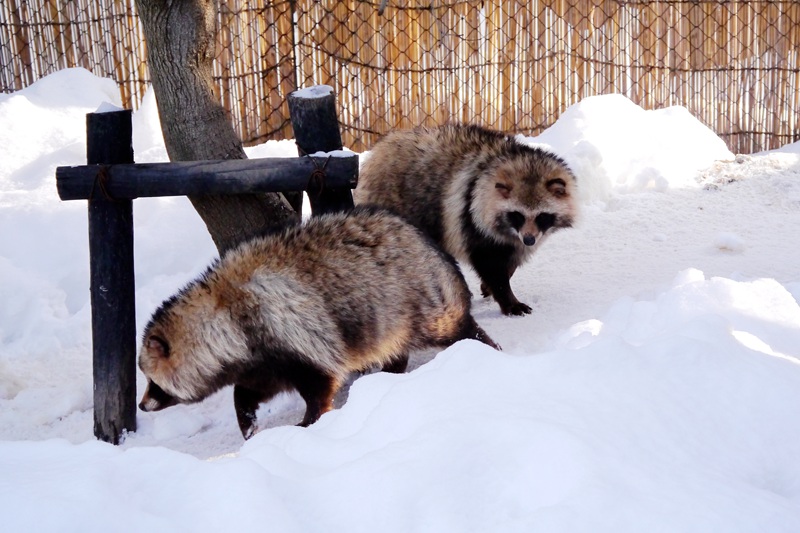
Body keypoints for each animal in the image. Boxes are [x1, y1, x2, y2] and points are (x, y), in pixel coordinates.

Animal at [141, 206, 496, 438]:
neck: (223, 311)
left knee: (449, 327)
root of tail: (428, 246)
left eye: (152, 380)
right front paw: (247, 420)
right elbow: (249, 390)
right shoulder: (261, 359)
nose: (142, 406)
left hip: (416, 298)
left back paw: (478, 343)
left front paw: (311, 421)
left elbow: (320, 382)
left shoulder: (289, 329)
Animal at [354, 123, 576, 316]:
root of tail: (379, 149)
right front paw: (507, 299)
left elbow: (510, 259)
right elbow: (490, 266)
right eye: (517, 215)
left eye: (542, 216)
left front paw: (495, 283)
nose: (529, 240)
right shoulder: (472, 219)